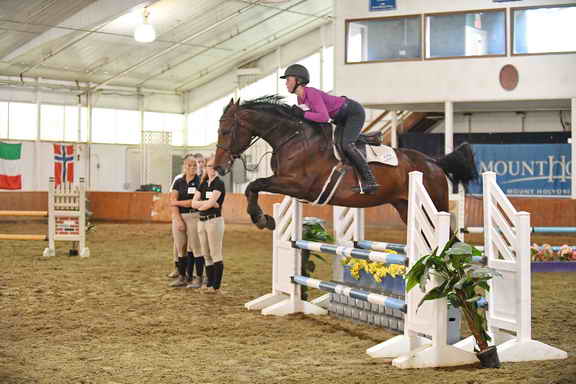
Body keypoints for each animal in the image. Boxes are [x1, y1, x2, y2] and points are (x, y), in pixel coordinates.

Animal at [215, 96, 476, 230]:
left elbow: (255, 185)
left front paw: (261, 219)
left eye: (226, 131)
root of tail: (433, 162)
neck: (293, 137)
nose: (218, 167)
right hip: (404, 206)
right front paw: (264, 219)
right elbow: (253, 187)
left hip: (436, 203)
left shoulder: (299, 185)